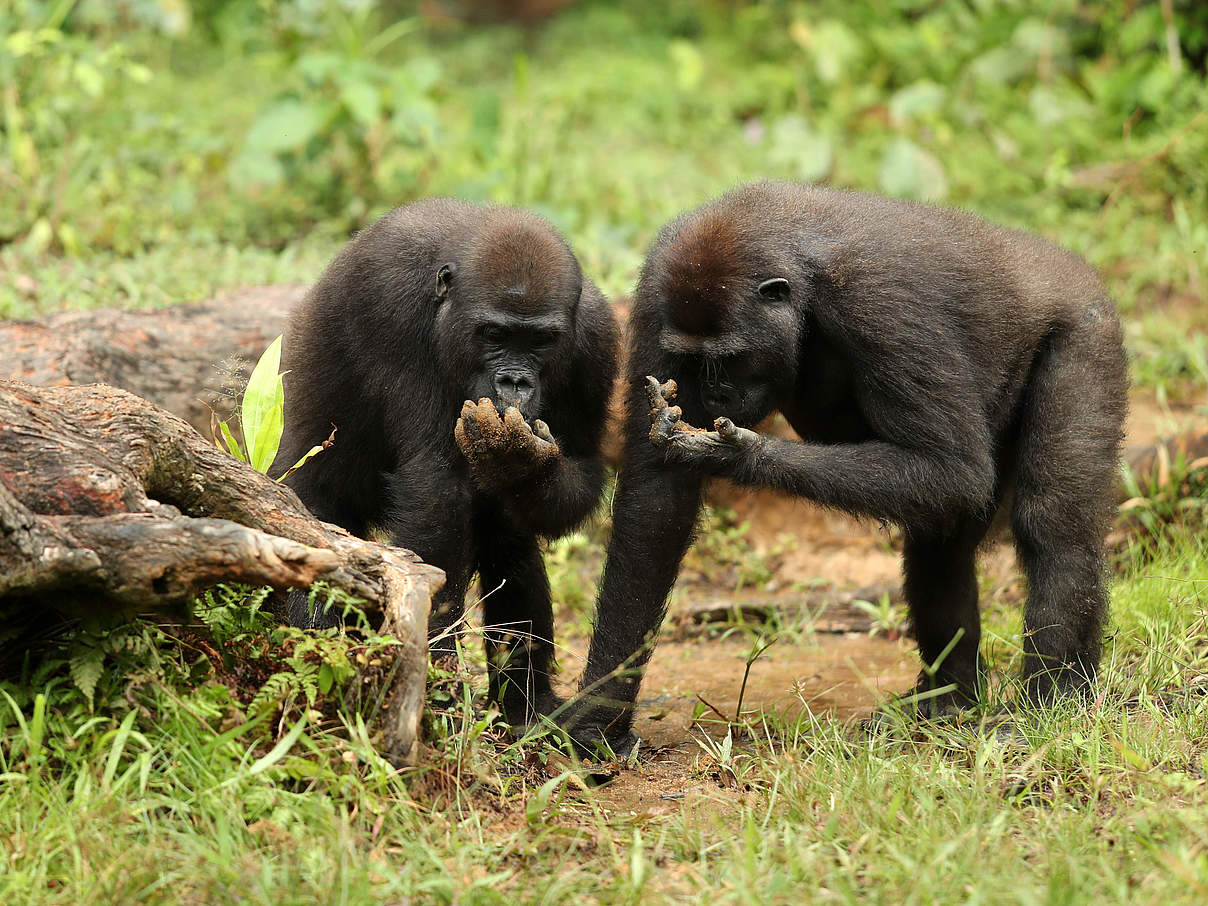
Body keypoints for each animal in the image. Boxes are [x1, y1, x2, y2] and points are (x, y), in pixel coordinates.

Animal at [269, 196, 618, 724]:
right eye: (493, 334)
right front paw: (435, 673)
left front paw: (522, 465)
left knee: (510, 544)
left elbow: (580, 471)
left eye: (540, 341)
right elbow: (435, 489)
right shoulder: (390, 307)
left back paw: (527, 708)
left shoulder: (598, 338)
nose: (515, 383)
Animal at [560, 182, 1125, 753]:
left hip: (1087, 333)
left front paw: (739, 455)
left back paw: (1049, 702)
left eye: (730, 359)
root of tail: (1064, 262)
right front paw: (600, 712)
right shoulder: (657, 295)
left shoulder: (875, 300)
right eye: (692, 362)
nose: (711, 394)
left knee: (1052, 525)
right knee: (942, 543)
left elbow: (953, 467)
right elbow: (655, 506)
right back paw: (949, 697)